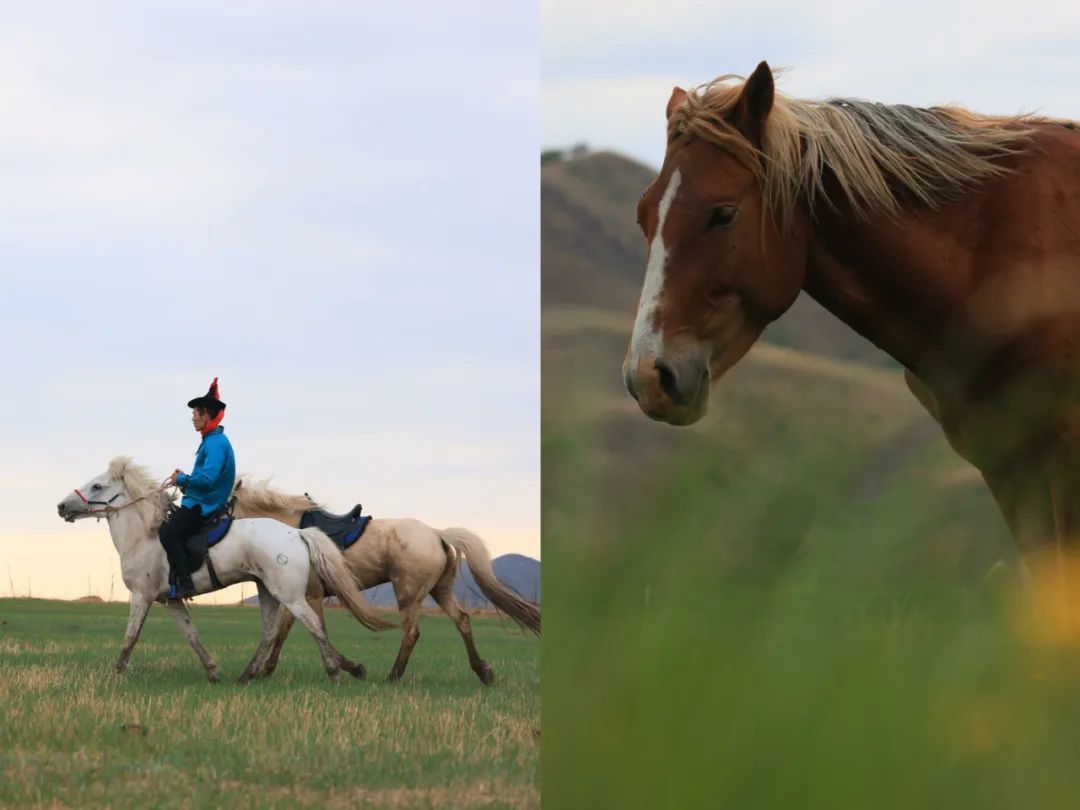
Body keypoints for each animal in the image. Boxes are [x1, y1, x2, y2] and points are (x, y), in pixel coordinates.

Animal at [54, 460, 393, 682]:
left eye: (97, 485)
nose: (61, 507)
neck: (144, 535)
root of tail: (297, 533)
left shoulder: (141, 595)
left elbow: (131, 636)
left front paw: (116, 673)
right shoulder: (171, 601)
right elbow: (191, 636)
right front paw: (212, 671)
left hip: (290, 595)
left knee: (313, 626)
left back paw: (334, 673)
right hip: (267, 591)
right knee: (270, 632)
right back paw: (246, 675)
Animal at [228, 479, 540, 686]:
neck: (291, 531)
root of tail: (437, 534)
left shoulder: (308, 596)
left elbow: (311, 631)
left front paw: (352, 668)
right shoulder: (302, 596)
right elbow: (289, 632)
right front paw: (267, 669)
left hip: (408, 593)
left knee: (411, 633)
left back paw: (394, 676)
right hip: (439, 590)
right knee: (462, 620)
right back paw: (483, 671)